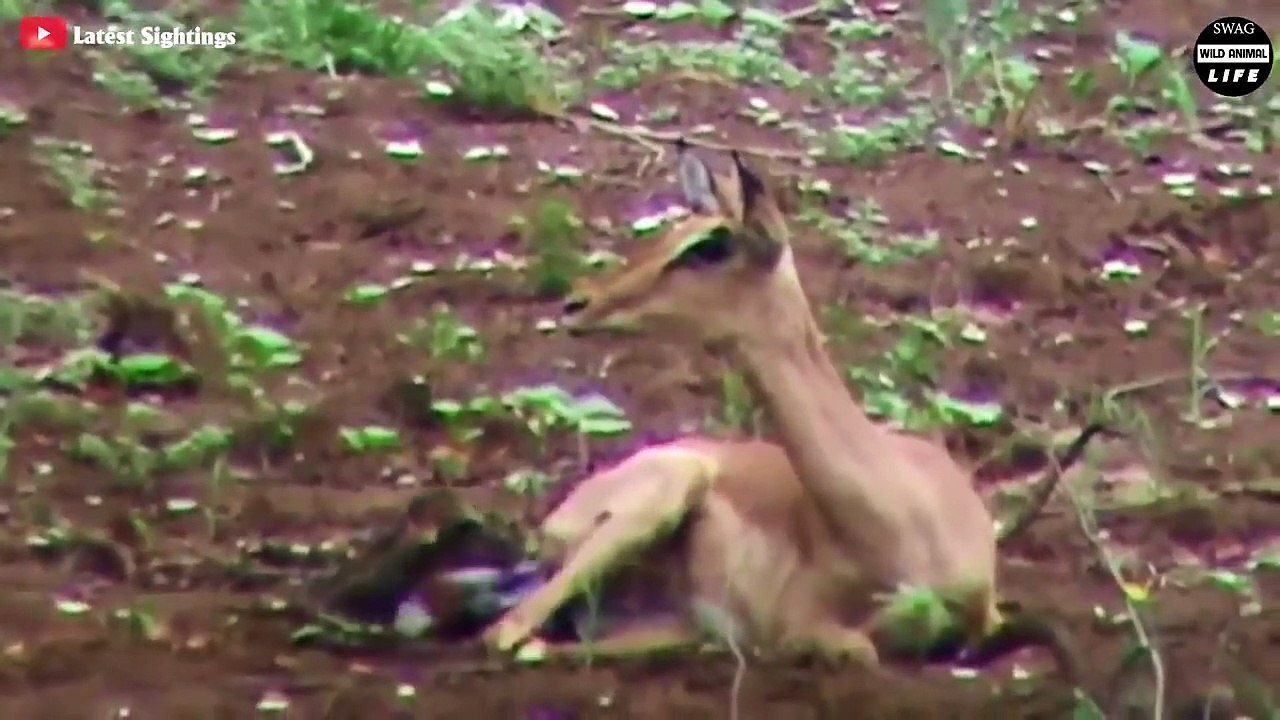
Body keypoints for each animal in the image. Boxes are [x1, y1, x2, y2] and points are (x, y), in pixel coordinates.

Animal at [482, 142, 1102, 673]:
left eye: (709, 244)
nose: (577, 302)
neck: (903, 520)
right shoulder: (806, 627)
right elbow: (859, 650)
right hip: (659, 505)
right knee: (509, 635)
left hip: (669, 619)